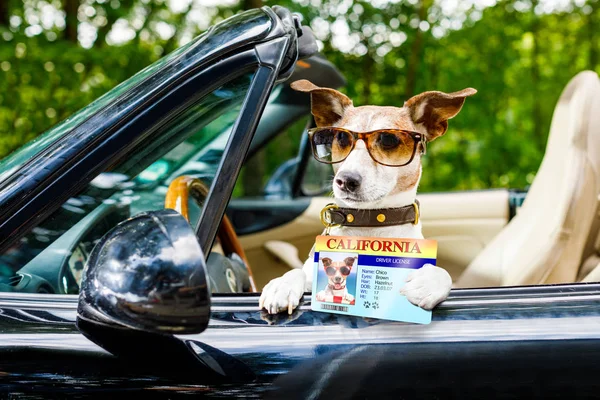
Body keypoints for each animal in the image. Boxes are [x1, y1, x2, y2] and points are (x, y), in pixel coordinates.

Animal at [260, 79, 476, 314]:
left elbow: (443, 272)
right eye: (341, 137)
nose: (346, 180)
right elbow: (298, 271)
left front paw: (428, 282)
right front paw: (282, 285)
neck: (371, 224)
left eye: (389, 140)